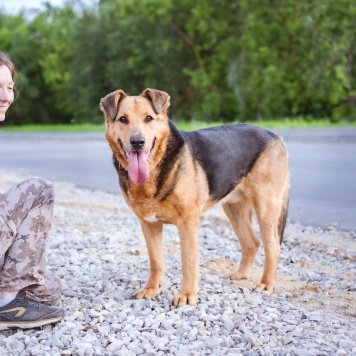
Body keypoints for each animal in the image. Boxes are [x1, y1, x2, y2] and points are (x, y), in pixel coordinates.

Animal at [99, 88, 290, 306]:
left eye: (149, 118)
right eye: (123, 119)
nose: (138, 142)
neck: (157, 166)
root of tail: (276, 135)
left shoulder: (188, 222)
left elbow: (188, 261)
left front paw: (187, 294)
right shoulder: (149, 224)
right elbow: (156, 261)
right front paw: (151, 289)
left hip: (265, 207)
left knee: (273, 247)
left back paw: (266, 284)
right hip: (234, 209)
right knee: (252, 243)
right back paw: (240, 275)